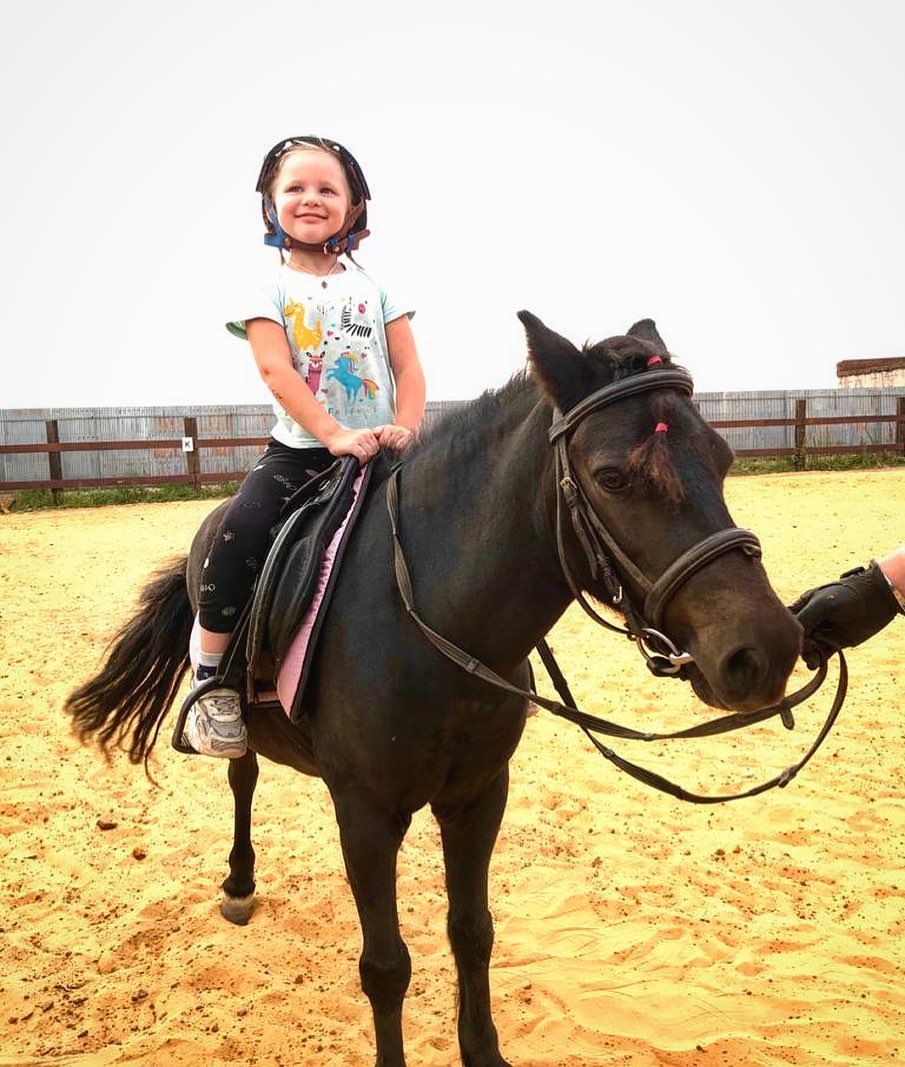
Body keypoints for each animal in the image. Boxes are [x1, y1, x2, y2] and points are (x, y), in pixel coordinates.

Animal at [65, 312, 802, 1067]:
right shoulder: (365, 813)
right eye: (611, 475)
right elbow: (386, 966)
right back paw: (239, 883)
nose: (767, 646)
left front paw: (484, 1050)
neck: (429, 624)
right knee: (242, 778)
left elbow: (472, 930)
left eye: (723, 457)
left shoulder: (478, 797)